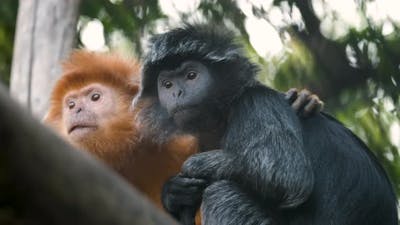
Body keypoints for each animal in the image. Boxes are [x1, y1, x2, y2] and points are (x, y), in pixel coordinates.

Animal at [134, 24, 396, 225]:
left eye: (191, 76)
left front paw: (192, 167)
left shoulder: (257, 103)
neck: (227, 110)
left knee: (222, 193)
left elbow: (287, 175)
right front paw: (174, 192)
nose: (177, 92)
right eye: (167, 84)